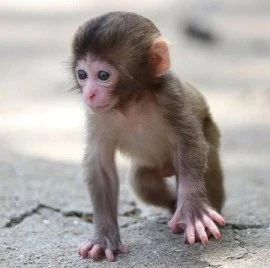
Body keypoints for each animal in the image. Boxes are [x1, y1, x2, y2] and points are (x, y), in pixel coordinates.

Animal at [71, 11, 226, 260]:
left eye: (103, 75)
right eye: (82, 75)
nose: (89, 94)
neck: (132, 102)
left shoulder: (171, 97)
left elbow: (190, 144)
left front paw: (194, 211)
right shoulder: (99, 115)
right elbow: (101, 166)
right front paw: (104, 239)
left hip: (210, 129)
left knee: (205, 160)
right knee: (142, 181)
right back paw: (173, 205)